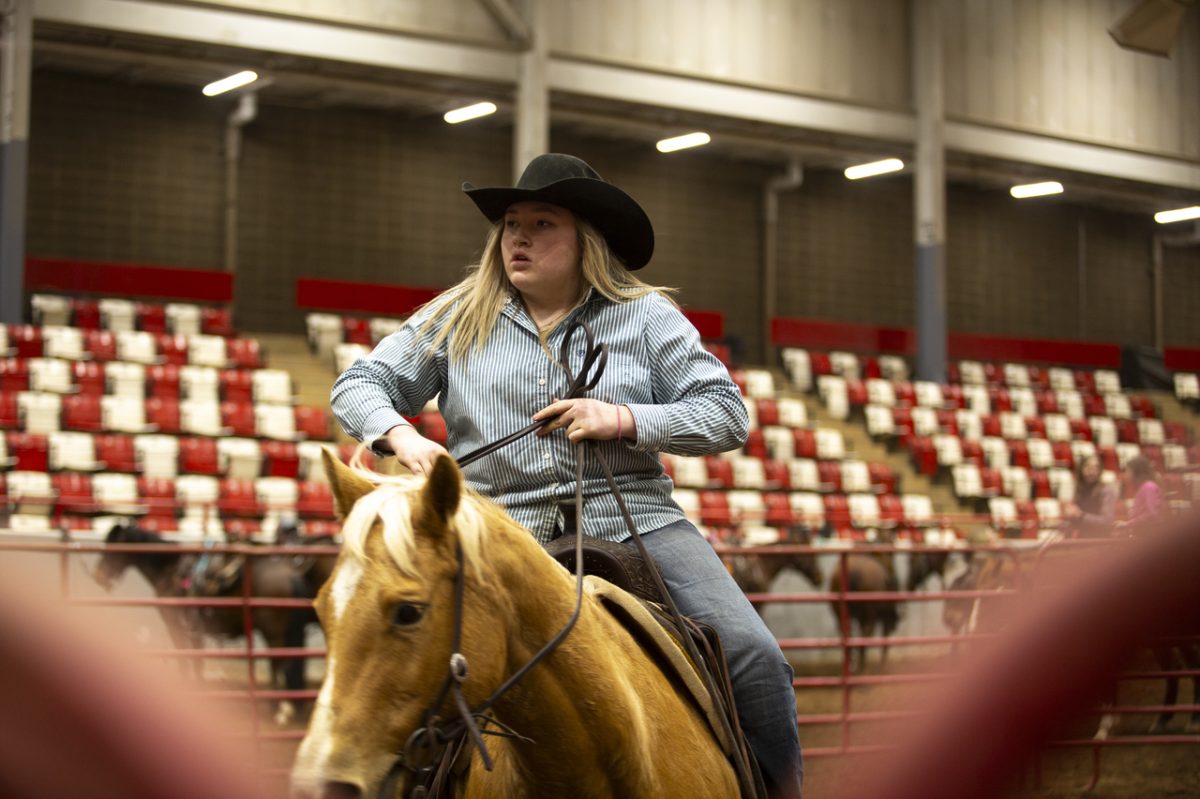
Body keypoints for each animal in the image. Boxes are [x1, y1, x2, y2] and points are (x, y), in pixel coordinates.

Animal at [90, 520, 338, 724]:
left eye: (110, 548)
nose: (98, 576)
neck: (171, 570)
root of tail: (290, 574)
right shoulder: (194, 630)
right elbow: (196, 661)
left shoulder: (178, 627)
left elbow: (187, 661)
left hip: (275, 632)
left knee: (281, 663)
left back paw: (281, 710)